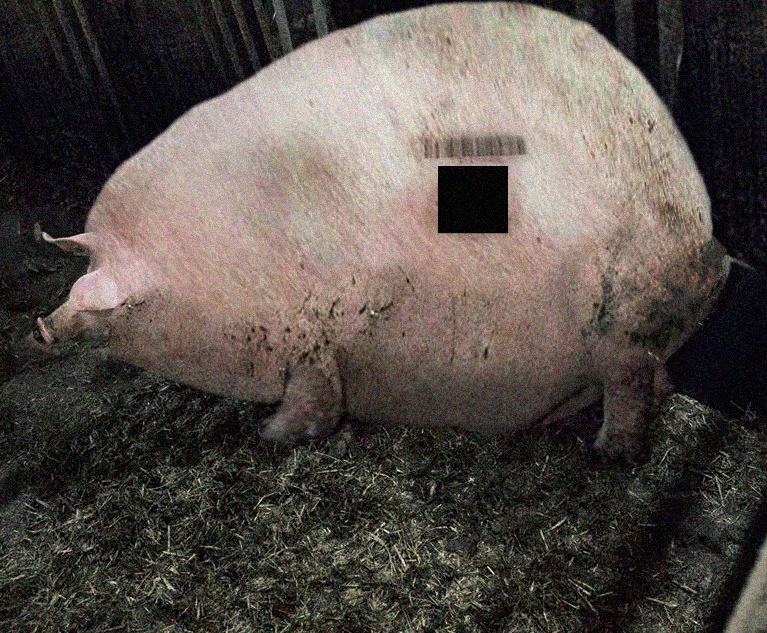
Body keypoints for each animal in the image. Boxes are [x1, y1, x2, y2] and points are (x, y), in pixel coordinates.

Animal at [34, 2, 729, 458]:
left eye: (111, 296)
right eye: (79, 275)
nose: (41, 325)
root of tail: (707, 236)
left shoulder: (313, 332)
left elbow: (312, 400)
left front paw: (271, 436)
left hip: (624, 320)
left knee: (630, 383)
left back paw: (609, 452)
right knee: (652, 381)